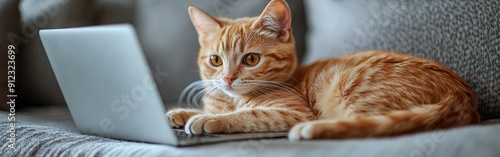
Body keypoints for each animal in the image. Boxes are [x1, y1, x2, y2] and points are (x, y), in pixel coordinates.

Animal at [167, 0, 480, 140]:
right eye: (216, 61)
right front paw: (181, 113)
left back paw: (312, 129)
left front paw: (206, 119)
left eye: (251, 59)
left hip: (352, 91)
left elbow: (247, 115)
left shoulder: (291, 112)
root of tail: (460, 94)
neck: (231, 99)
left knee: (362, 127)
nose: (228, 78)